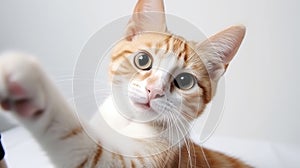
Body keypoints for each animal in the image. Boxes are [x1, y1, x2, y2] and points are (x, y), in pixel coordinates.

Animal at [0, 0, 248, 168]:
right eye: (143, 60)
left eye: (185, 81)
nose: (154, 90)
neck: (126, 122)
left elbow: (84, 145)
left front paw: (31, 81)